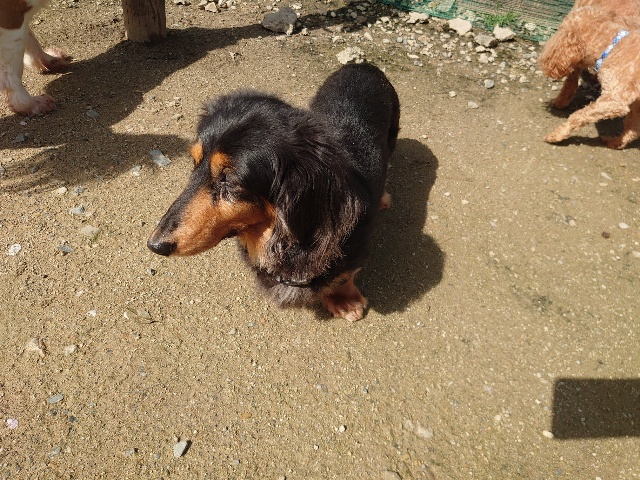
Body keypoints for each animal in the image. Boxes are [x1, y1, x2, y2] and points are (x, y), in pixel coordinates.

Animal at [147, 63, 400, 321]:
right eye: (194, 163)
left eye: (229, 179)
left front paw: (345, 301)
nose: (155, 245)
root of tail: (363, 65)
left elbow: (344, 277)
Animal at [539, 6, 640, 149]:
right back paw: (614, 142)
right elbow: (634, 127)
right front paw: (617, 142)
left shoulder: (615, 100)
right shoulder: (636, 103)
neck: (613, 47)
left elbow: (578, 115)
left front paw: (557, 135)